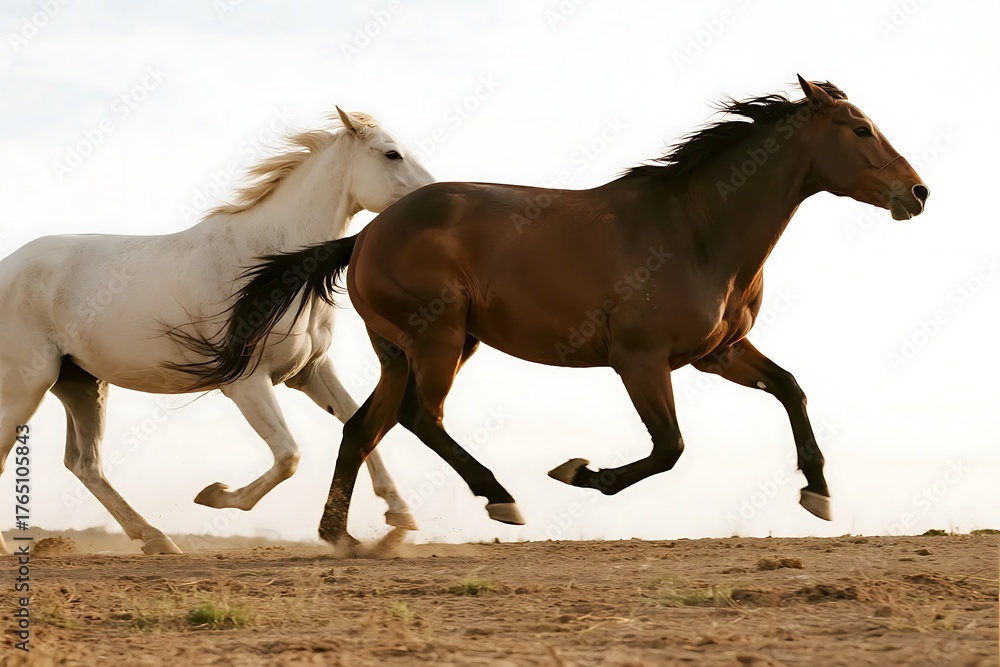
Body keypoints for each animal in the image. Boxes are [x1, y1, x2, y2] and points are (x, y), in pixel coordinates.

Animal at [0, 108, 433, 555]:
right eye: (392, 154)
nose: (431, 202)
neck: (269, 264)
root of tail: (7, 266)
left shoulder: (311, 372)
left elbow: (357, 427)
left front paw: (396, 521)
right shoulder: (246, 383)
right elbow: (288, 456)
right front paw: (216, 494)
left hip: (82, 385)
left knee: (85, 463)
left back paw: (157, 540)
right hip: (25, 388)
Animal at [178, 77, 929, 553]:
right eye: (860, 127)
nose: (917, 192)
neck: (696, 230)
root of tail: (365, 235)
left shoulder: (719, 352)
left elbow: (791, 389)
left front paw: (818, 491)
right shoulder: (640, 360)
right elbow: (669, 448)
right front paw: (577, 471)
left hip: (410, 349)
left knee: (365, 426)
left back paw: (345, 537)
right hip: (441, 339)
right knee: (422, 417)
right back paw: (499, 496)